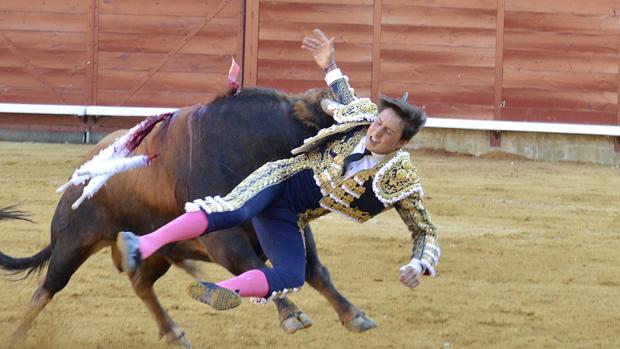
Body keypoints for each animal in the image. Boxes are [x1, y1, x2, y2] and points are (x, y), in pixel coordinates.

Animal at [0, 86, 376, 346]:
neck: (252, 147)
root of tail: (79, 175)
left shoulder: (288, 224)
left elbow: (315, 271)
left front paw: (354, 315)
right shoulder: (223, 240)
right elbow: (254, 266)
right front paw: (293, 315)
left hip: (158, 251)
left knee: (141, 283)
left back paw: (173, 332)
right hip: (72, 242)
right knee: (45, 290)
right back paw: (16, 337)